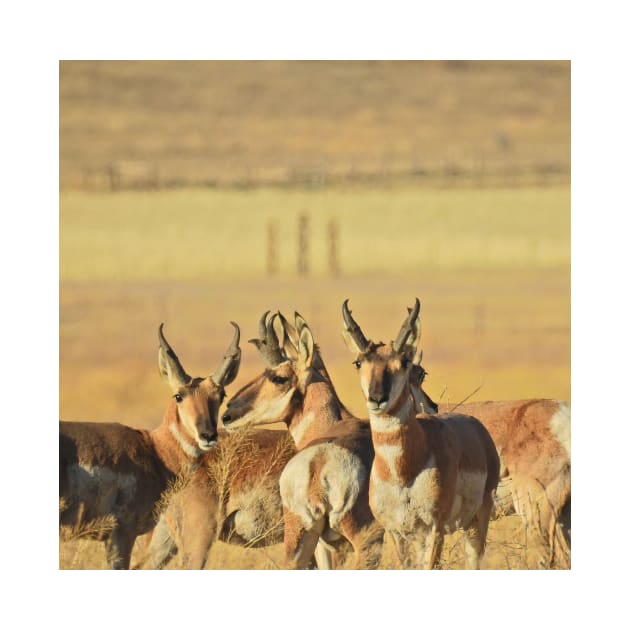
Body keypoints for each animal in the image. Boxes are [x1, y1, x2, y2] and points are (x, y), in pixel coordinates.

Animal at [344, 298, 502, 572]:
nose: (377, 398)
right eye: (358, 362)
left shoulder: (434, 529)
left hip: (476, 522)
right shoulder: (398, 532)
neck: (403, 472)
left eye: (404, 363)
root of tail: (477, 427)